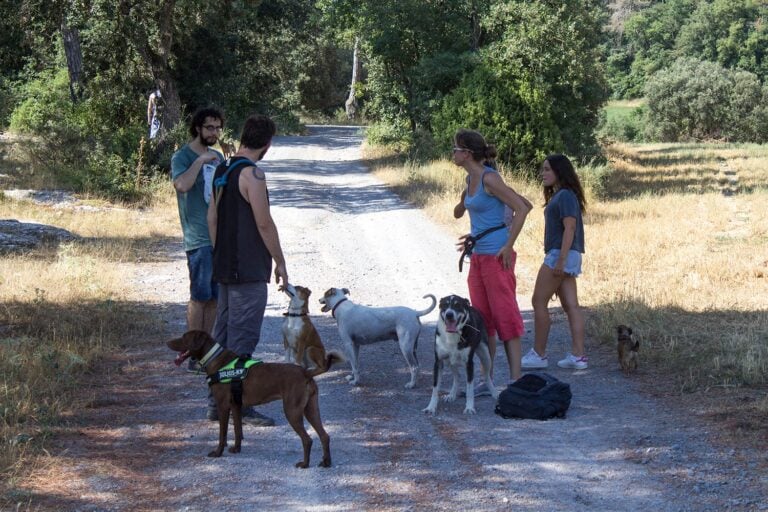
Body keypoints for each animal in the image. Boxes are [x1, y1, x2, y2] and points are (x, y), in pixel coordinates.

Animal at [168, 328, 330, 468]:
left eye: (184, 337)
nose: (167, 342)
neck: (215, 358)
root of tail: (306, 373)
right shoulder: (236, 405)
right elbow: (237, 430)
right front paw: (236, 449)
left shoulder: (223, 405)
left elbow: (223, 434)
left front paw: (218, 452)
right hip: (311, 409)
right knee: (324, 435)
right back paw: (326, 462)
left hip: (292, 411)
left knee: (307, 439)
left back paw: (305, 464)